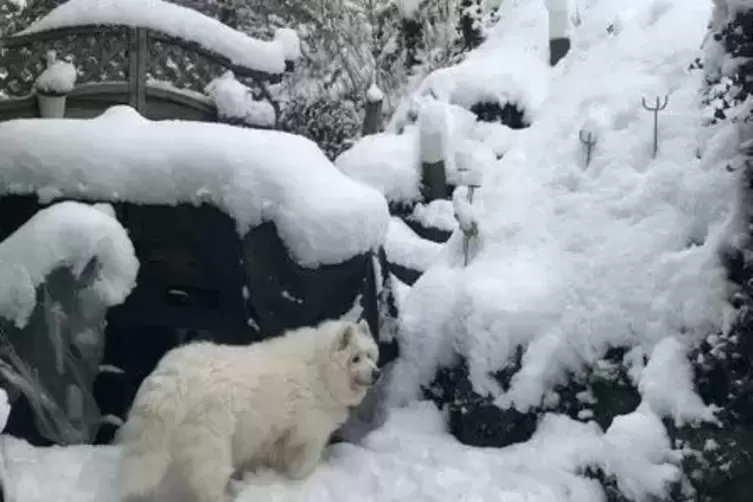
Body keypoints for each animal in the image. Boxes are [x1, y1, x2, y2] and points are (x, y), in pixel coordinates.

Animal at [118, 320, 382, 500]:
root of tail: (171, 380)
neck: (320, 370)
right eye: (355, 358)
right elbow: (304, 465)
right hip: (212, 446)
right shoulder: (307, 435)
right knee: (208, 485)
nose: (377, 373)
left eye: (370, 355)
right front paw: (300, 482)